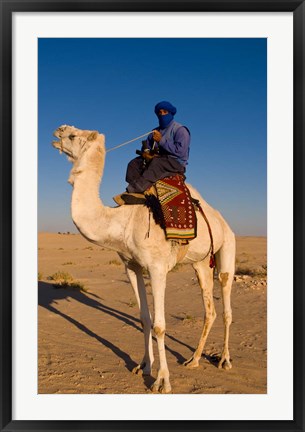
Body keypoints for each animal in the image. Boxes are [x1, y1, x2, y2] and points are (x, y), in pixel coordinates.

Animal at [51, 125, 235, 394]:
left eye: (74, 136)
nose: (58, 130)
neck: (121, 221)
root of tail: (222, 220)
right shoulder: (132, 266)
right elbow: (144, 318)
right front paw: (144, 366)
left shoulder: (157, 268)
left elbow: (159, 325)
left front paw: (162, 381)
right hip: (200, 263)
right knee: (208, 308)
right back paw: (193, 360)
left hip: (228, 247)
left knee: (225, 300)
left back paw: (224, 360)